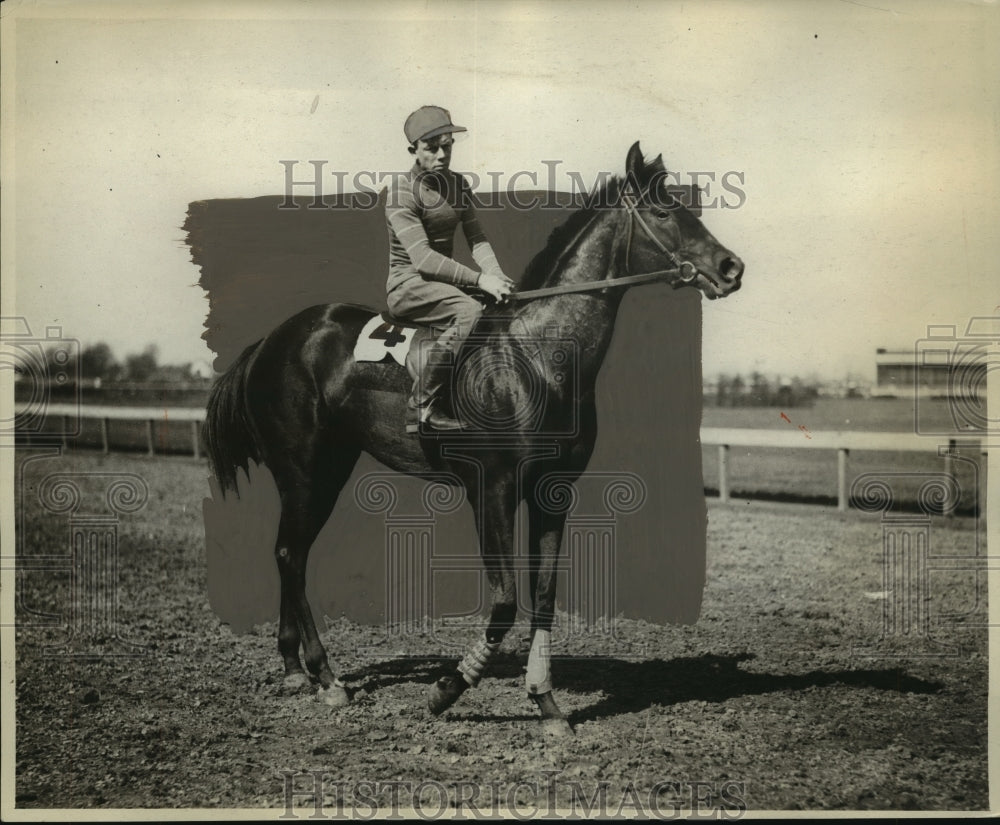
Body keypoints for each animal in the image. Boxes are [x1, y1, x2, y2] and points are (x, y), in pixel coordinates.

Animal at [201, 143, 744, 732]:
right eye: (666, 211)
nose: (731, 267)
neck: (536, 356)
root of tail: (272, 339)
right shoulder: (493, 489)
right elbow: (505, 601)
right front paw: (446, 690)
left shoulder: (554, 490)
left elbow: (544, 594)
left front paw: (546, 704)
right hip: (301, 469)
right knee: (289, 553)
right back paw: (327, 678)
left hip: (330, 468)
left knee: (291, 553)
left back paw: (294, 669)